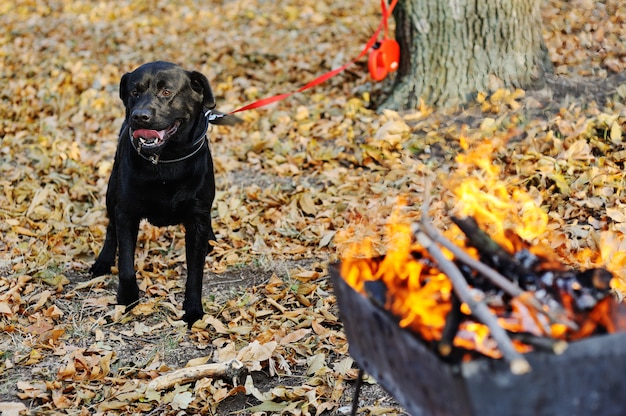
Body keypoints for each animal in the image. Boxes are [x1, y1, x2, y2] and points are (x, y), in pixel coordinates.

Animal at [91, 61, 238, 326]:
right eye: (134, 92)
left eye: (167, 92)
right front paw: (127, 299)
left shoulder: (197, 218)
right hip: (111, 191)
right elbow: (126, 264)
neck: (166, 161)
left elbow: (195, 273)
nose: (140, 116)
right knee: (110, 229)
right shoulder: (126, 213)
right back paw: (103, 261)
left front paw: (193, 310)